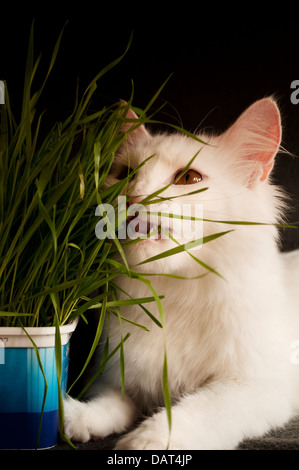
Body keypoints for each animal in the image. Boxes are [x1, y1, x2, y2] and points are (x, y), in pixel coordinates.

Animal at [63, 97, 299, 450]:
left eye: (188, 179)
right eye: (125, 174)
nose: (132, 198)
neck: (171, 296)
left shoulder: (254, 387)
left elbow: (190, 412)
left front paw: (146, 442)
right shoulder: (117, 378)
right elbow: (106, 408)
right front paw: (72, 419)